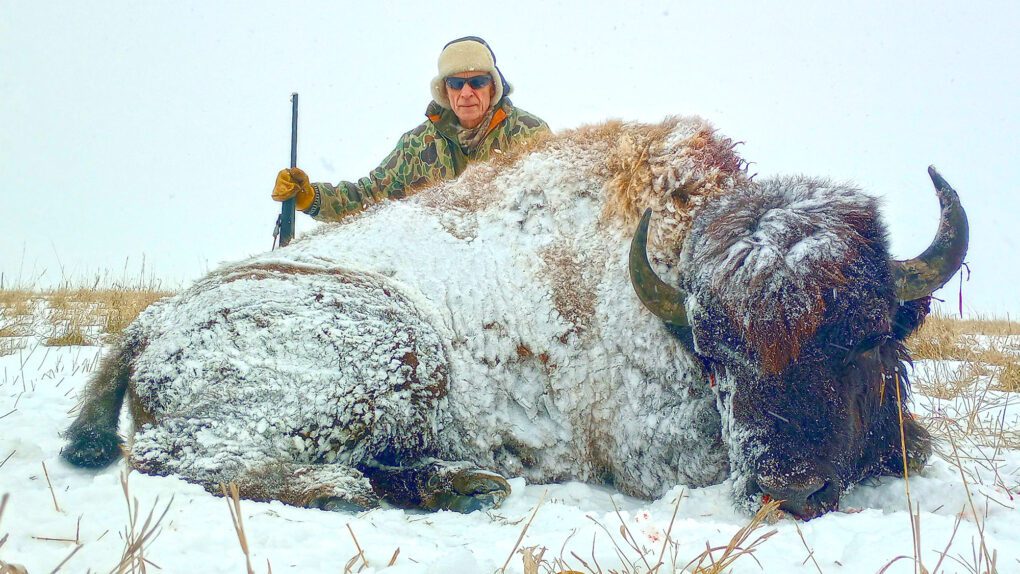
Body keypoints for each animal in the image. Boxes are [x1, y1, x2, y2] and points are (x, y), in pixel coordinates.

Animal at [61, 117, 968, 519]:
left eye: (864, 338)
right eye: (715, 355)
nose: (788, 489)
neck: (668, 272)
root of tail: (151, 325)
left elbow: (912, 444)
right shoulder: (656, 454)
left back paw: (455, 482)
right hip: (396, 346)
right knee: (175, 455)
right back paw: (356, 487)